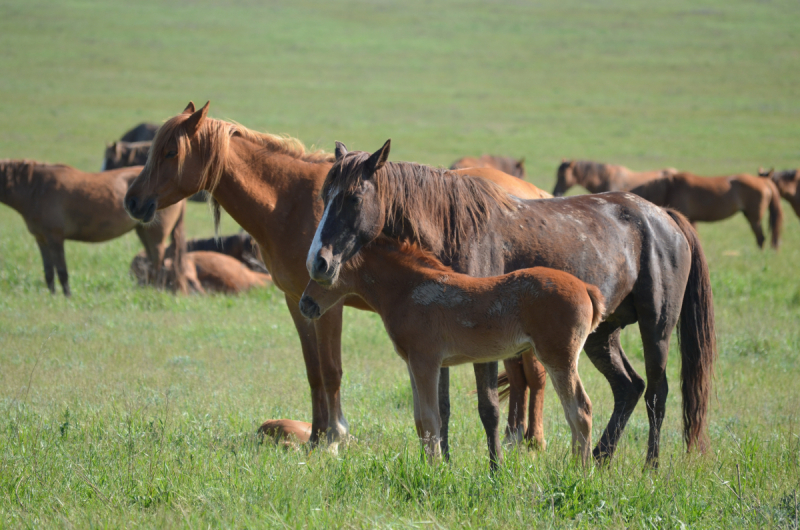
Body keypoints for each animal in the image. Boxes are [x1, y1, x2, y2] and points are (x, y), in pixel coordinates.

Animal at [0, 159, 188, 294]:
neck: (36, 188)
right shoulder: (41, 239)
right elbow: (49, 273)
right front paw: (52, 297)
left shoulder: (55, 238)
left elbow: (62, 271)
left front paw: (67, 297)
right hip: (143, 232)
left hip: (155, 236)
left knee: (159, 264)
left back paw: (154, 292)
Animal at [300, 235, 608, 462]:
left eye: (323, 270)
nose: (305, 304)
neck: (408, 290)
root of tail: (586, 287)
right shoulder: (413, 364)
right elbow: (420, 420)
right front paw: (428, 464)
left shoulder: (426, 362)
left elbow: (431, 418)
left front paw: (435, 468)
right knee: (573, 412)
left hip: (558, 358)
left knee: (580, 410)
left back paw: (580, 470)